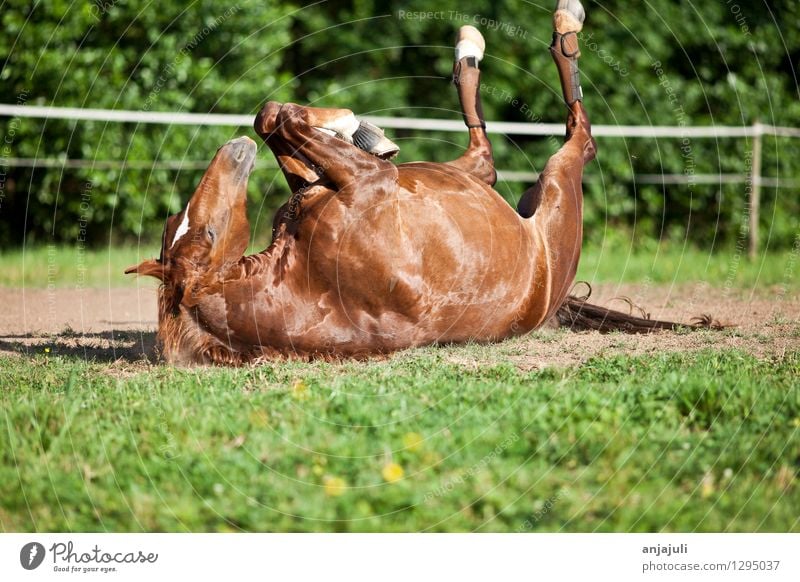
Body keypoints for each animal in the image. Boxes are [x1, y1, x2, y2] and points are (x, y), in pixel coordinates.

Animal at [125, 0, 708, 364]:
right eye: (202, 232)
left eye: (187, 224)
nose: (232, 152)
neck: (305, 281)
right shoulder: (370, 182)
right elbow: (283, 121)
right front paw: (352, 126)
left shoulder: (324, 186)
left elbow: (273, 119)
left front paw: (357, 128)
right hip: (558, 187)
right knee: (573, 136)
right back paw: (547, 28)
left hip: (464, 177)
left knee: (486, 153)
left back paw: (463, 52)